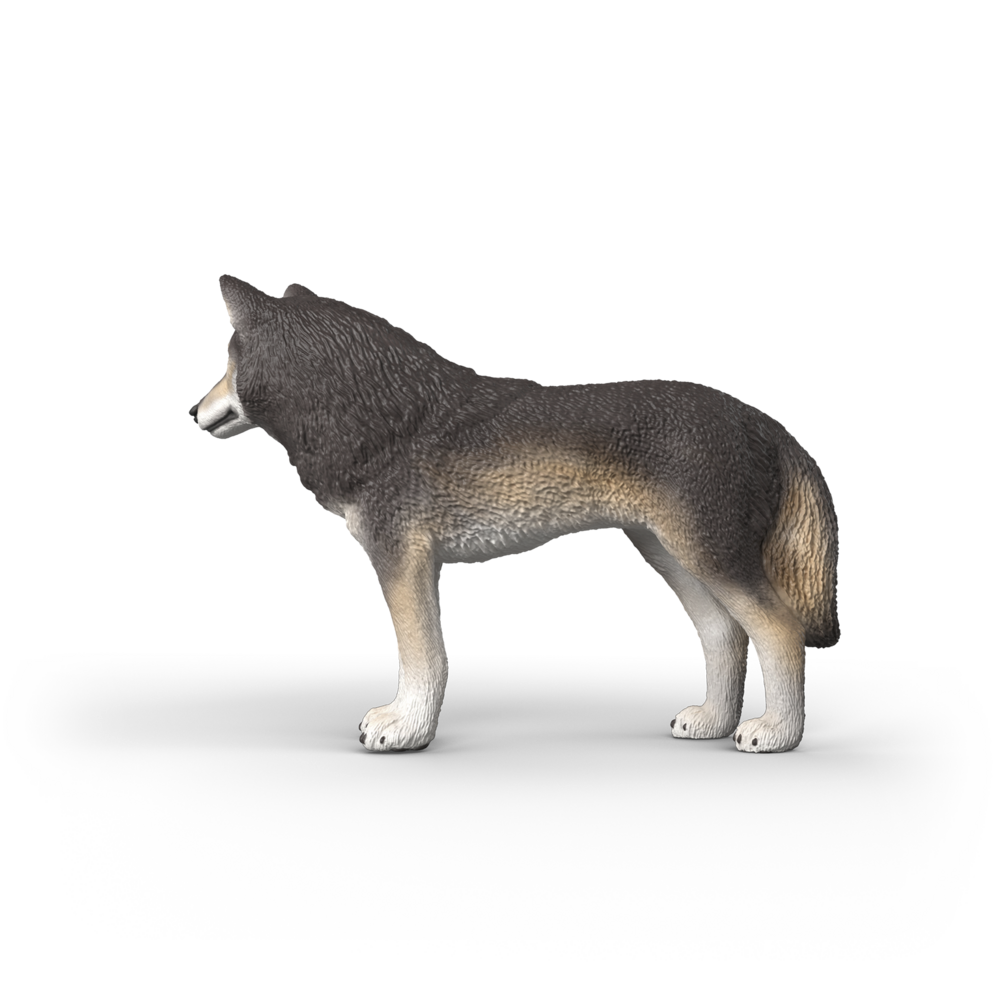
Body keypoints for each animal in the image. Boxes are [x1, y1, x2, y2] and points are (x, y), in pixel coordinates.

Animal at [190, 276, 840, 754]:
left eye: (226, 361)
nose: (192, 410)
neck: (387, 420)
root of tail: (764, 422)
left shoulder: (402, 561)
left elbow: (420, 656)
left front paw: (406, 728)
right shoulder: (417, 563)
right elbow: (426, 655)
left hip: (707, 559)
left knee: (779, 632)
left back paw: (776, 734)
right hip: (674, 557)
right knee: (725, 634)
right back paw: (710, 722)